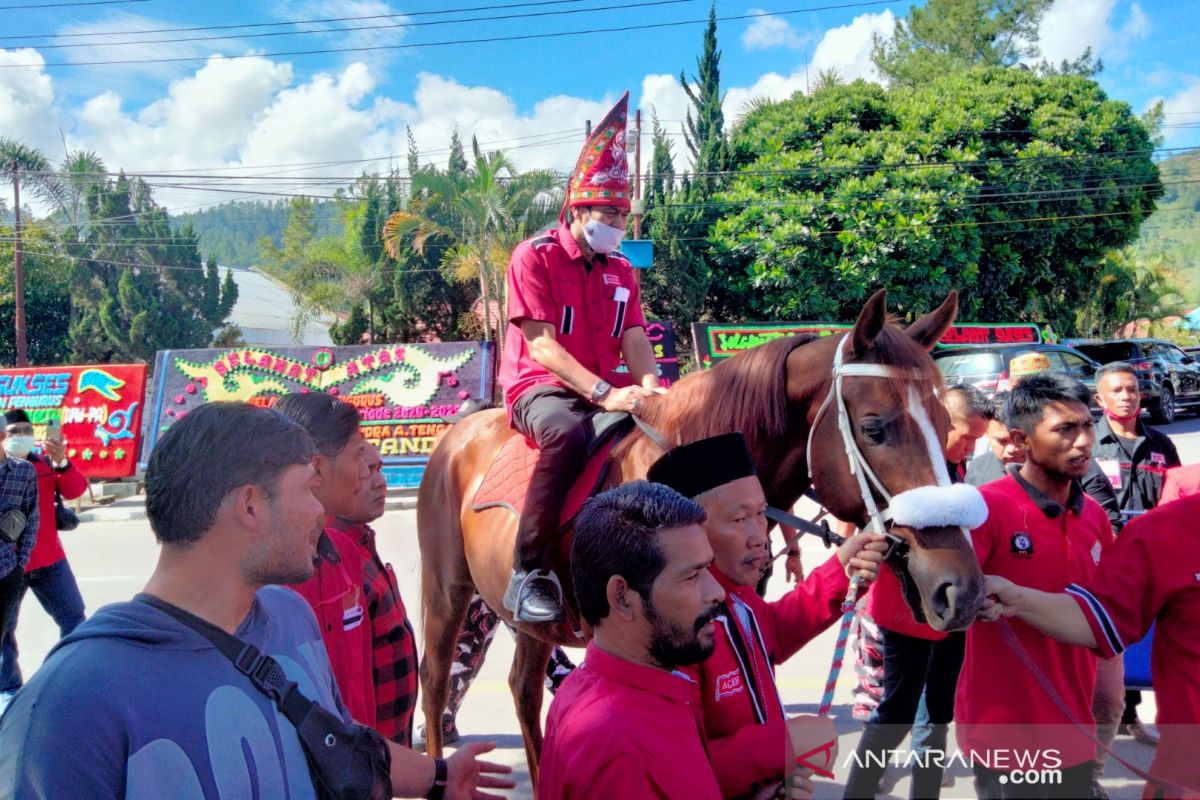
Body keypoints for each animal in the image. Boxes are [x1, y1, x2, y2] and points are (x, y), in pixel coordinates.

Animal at [420, 287, 984, 782]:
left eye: (943, 424)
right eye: (873, 427)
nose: (961, 588)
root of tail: (461, 429)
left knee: (524, 690)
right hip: (447, 591)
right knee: (434, 680)